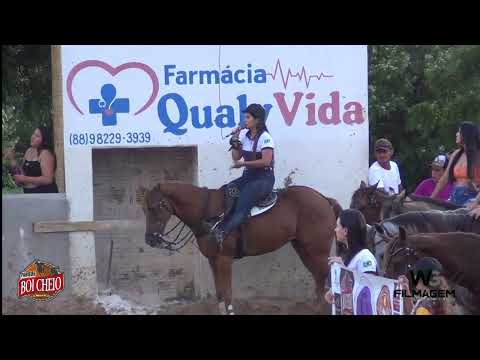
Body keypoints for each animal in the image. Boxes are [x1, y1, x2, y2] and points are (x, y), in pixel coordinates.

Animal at [139, 183, 342, 316]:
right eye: (144, 209)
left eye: (153, 208)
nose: (150, 239)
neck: (210, 214)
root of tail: (325, 199)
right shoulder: (213, 259)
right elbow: (220, 292)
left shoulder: (224, 259)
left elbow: (228, 292)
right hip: (304, 249)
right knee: (319, 277)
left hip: (316, 250)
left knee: (327, 275)